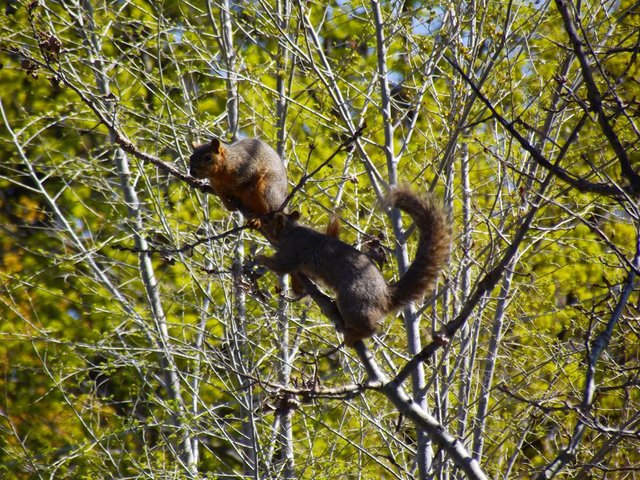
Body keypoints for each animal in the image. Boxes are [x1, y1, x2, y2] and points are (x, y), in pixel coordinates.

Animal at [256, 186, 456, 346]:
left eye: (268, 220)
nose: (258, 219)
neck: (290, 230)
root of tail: (385, 296)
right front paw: (298, 288)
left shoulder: (292, 250)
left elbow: (281, 265)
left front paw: (261, 258)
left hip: (353, 300)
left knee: (371, 327)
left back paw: (357, 334)